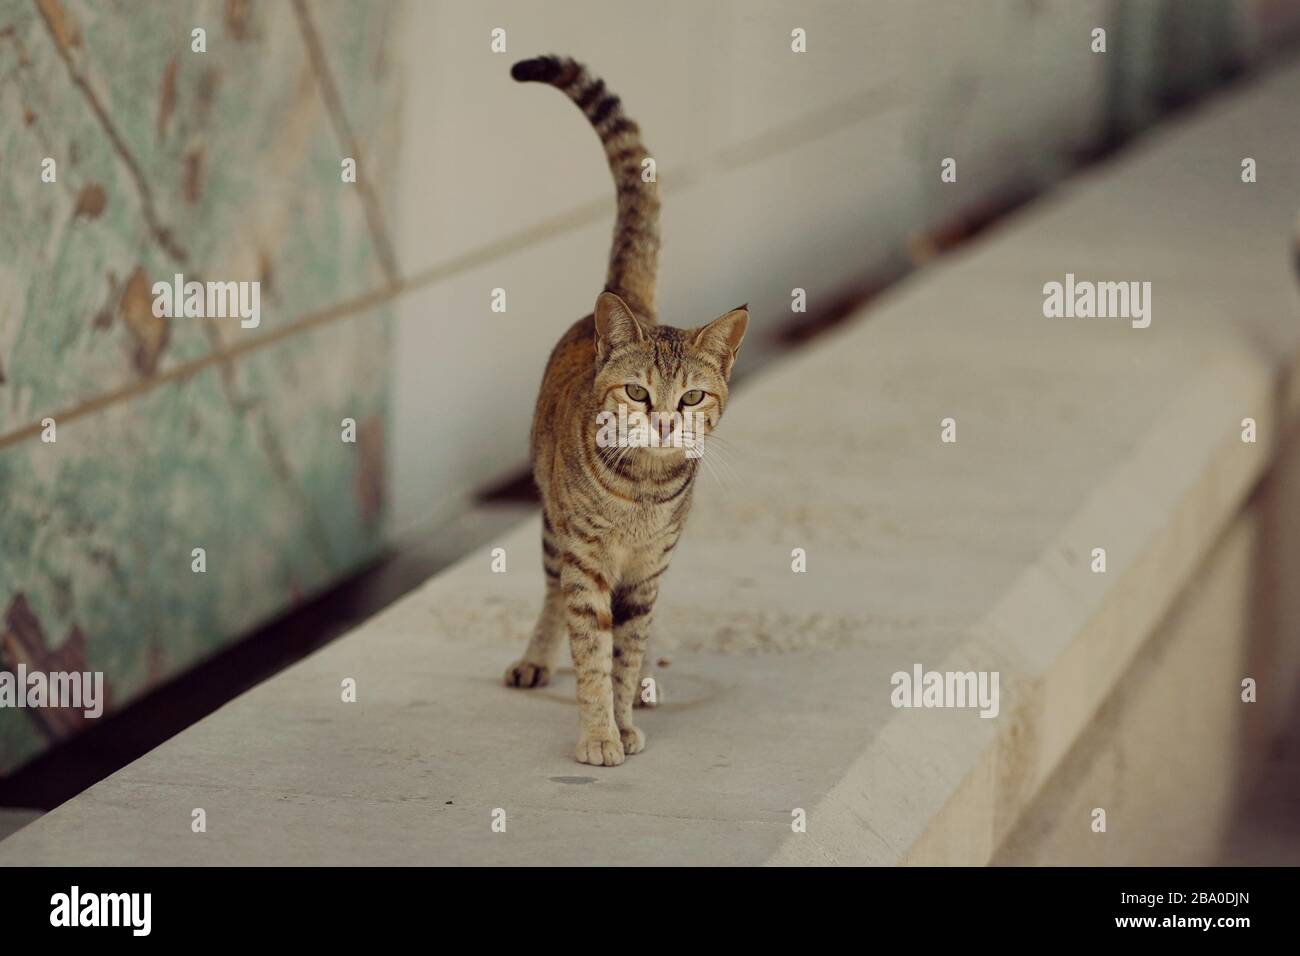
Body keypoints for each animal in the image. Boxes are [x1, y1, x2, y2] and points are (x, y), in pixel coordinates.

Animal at [501, 55, 748, 764]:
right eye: (638, 393)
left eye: (691, 396)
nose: (664, 419)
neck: (642, 487)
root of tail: (619, 299)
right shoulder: (587, 562)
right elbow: (590, 651)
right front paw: (598, 733)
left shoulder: (647, 570)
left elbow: (627, 649)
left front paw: (623, 713)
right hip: (553, 531)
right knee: (551, 595)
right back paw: (536, 658)